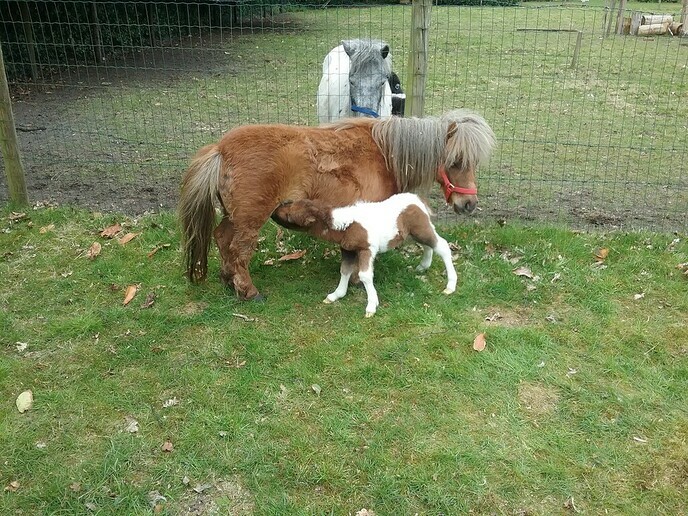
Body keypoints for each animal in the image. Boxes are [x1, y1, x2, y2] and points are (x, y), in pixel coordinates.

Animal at [178, 109, 495, 301]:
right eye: (457, 161)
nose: (469, 204)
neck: (383, 153)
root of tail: (220, 149)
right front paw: (355, 280)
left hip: (233, 215)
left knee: (222, 239)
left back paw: (227, 279)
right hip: (249, 219)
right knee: (238, 249)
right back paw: (248, 290)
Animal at [273, 193, 457, 317]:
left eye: (289, 216)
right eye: (289, 203)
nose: (274, 211)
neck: (346, 226)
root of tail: (418, 200)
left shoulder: (366, 249)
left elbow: (365, 275)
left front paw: (371, 306)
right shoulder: (347, 250)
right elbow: (345, 270)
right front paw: (336, 295)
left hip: (421, 228)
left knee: (442, 246)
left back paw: (450, 286)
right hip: (412, 234)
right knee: (428, 246)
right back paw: (423, 267)